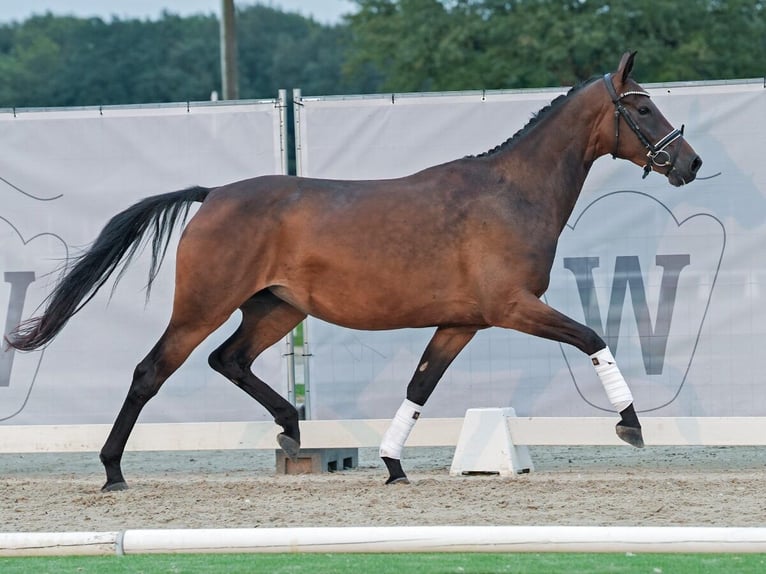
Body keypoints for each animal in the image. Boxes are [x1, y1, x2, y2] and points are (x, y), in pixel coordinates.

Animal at [6, 51, 704, 492]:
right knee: (151, 372)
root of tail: (214, 195)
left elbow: (420, 387)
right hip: (203, 307)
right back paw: (113, 472)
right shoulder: (512, 308)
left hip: (276, 307)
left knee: (229, 360)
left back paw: (293, 429)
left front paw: (393, 464)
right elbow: (593, 337)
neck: (511, 193)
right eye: (642, 109)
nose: (690, 163)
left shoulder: (461, 322)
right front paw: (631, 424)